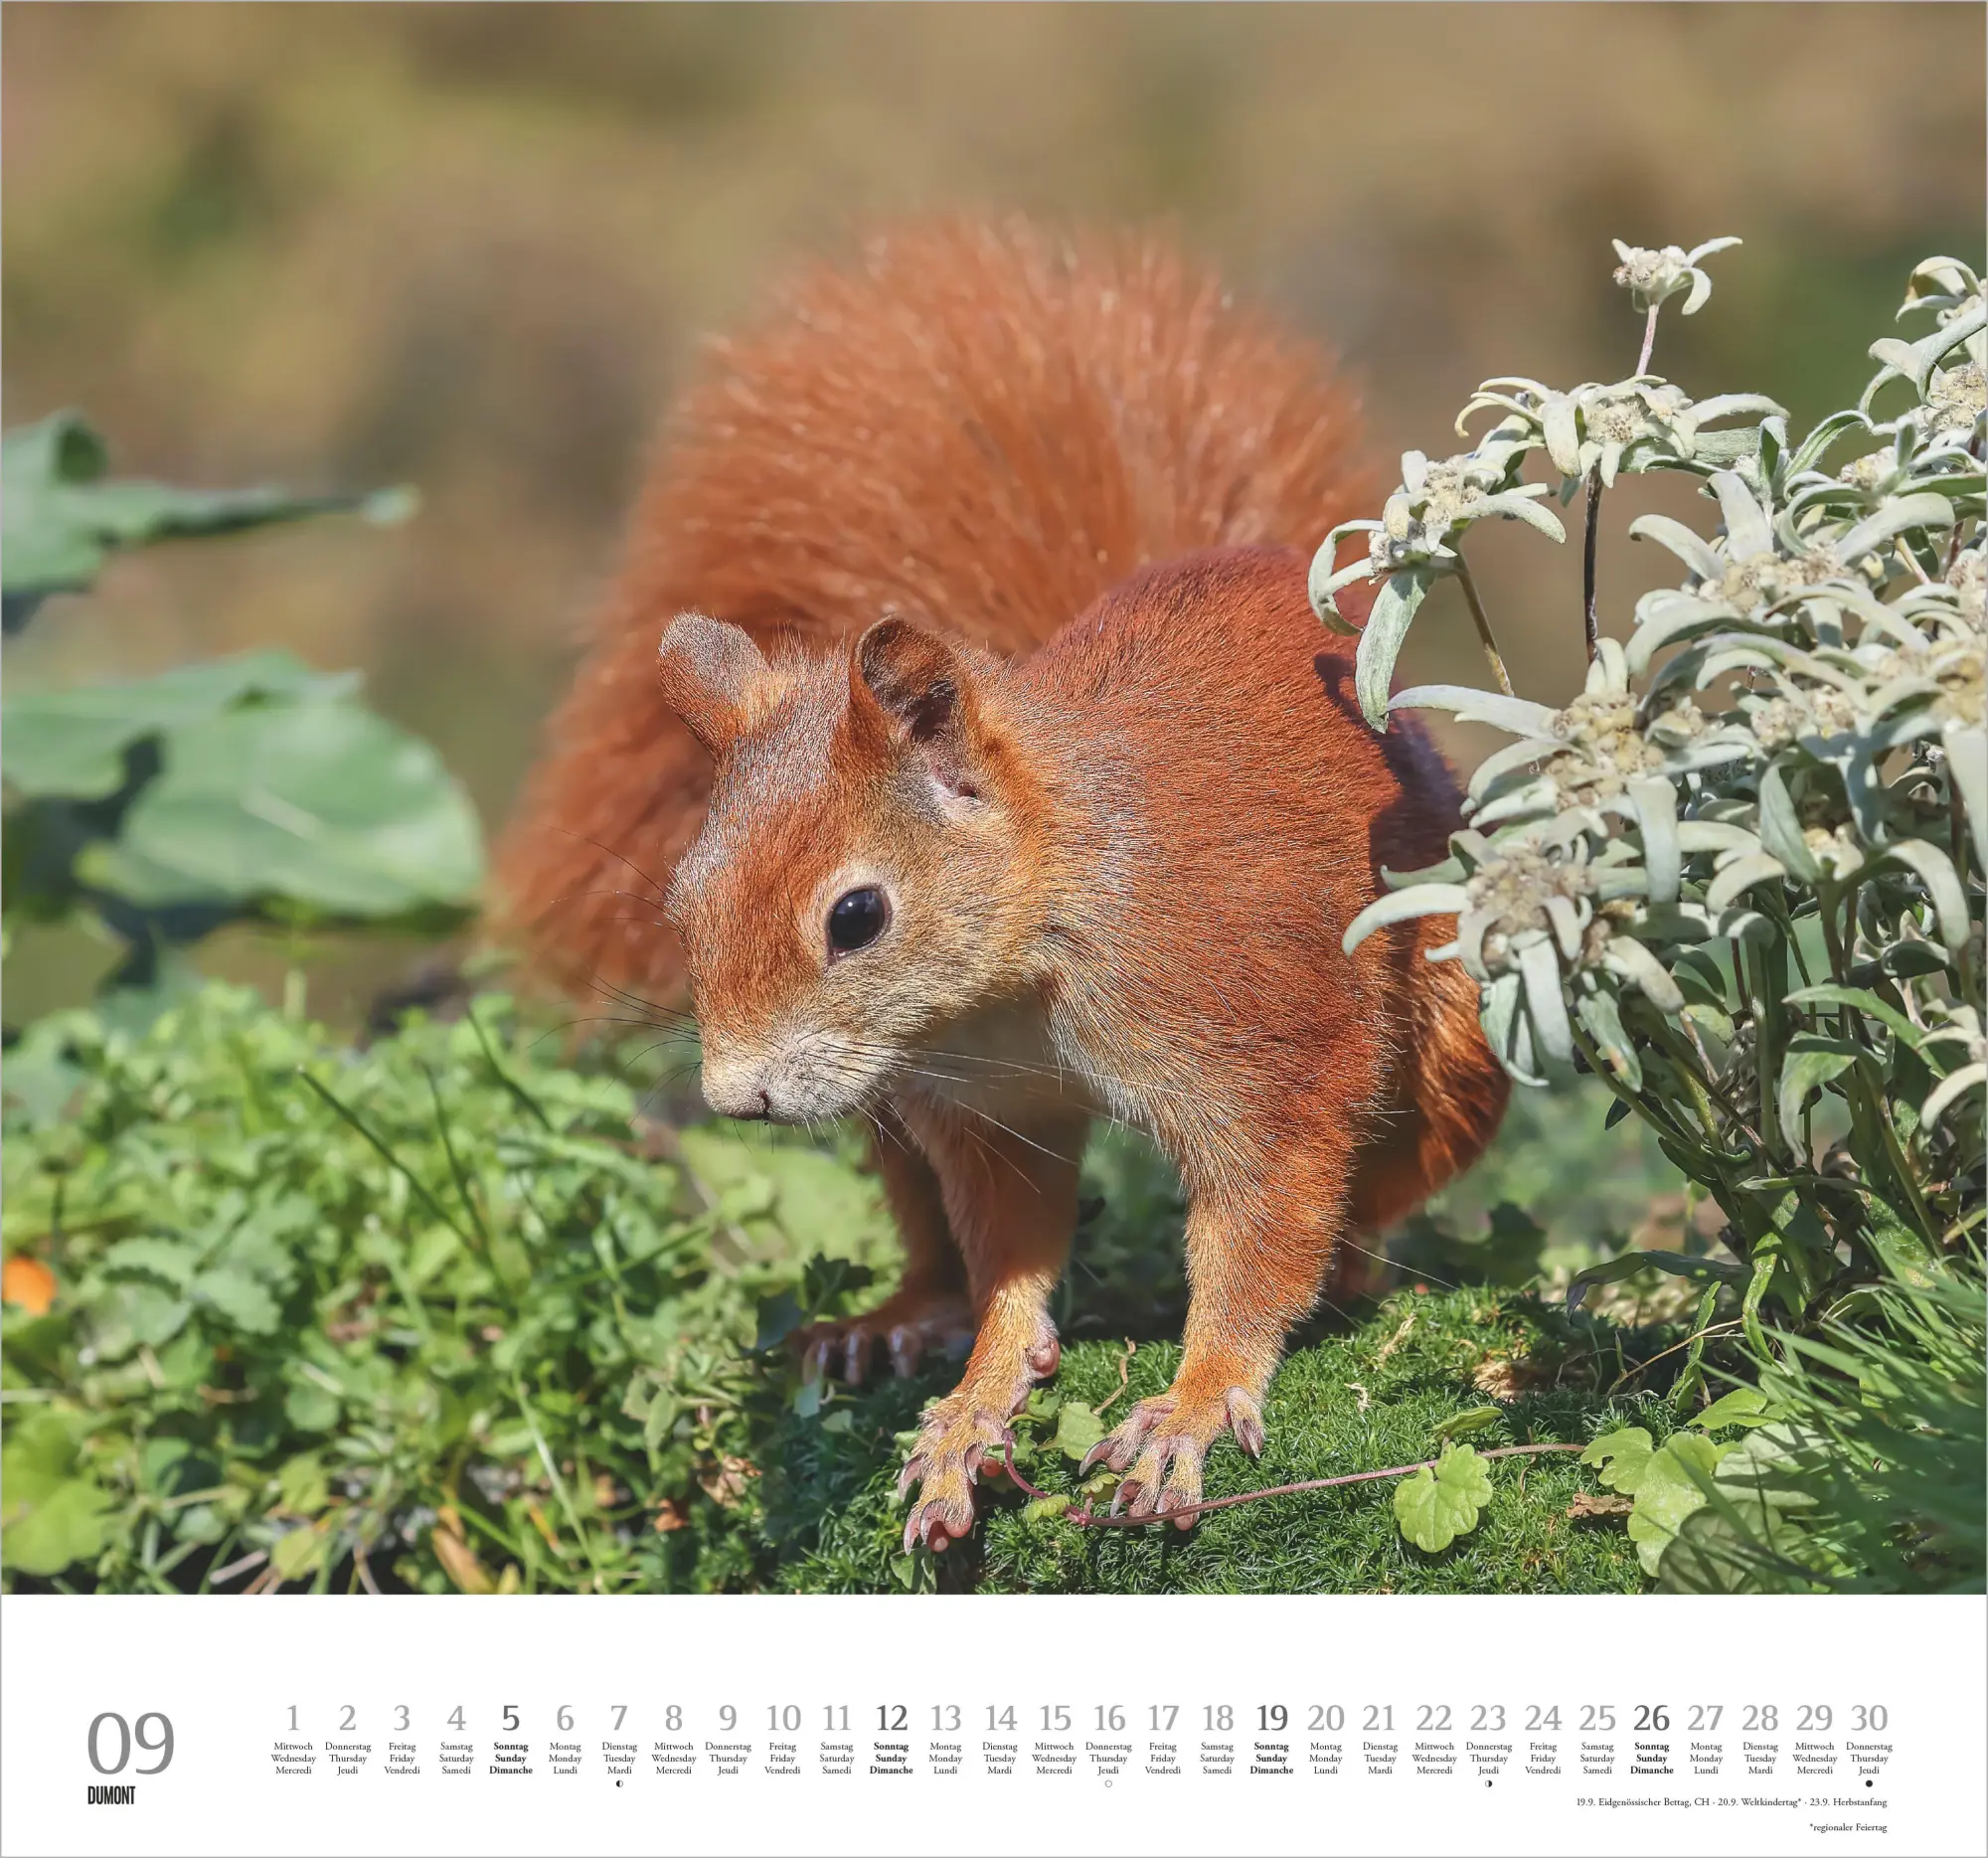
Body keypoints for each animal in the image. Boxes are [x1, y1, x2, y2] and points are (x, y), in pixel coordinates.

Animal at [496, 219, 1509, 1549]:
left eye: (856, 915)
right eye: (685, 901)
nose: (735, 1099)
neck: (1018, 976)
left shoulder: (1258, 1052)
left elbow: (1259, 1231)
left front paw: (1191, 1405)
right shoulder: (981, 1112)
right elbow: (1009, 1260)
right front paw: (979, 1395)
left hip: (1442, 1025)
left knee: (1397, 1167)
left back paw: (1351, 1265)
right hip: (885, 1120)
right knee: (934, 1244)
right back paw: (895, 1322)